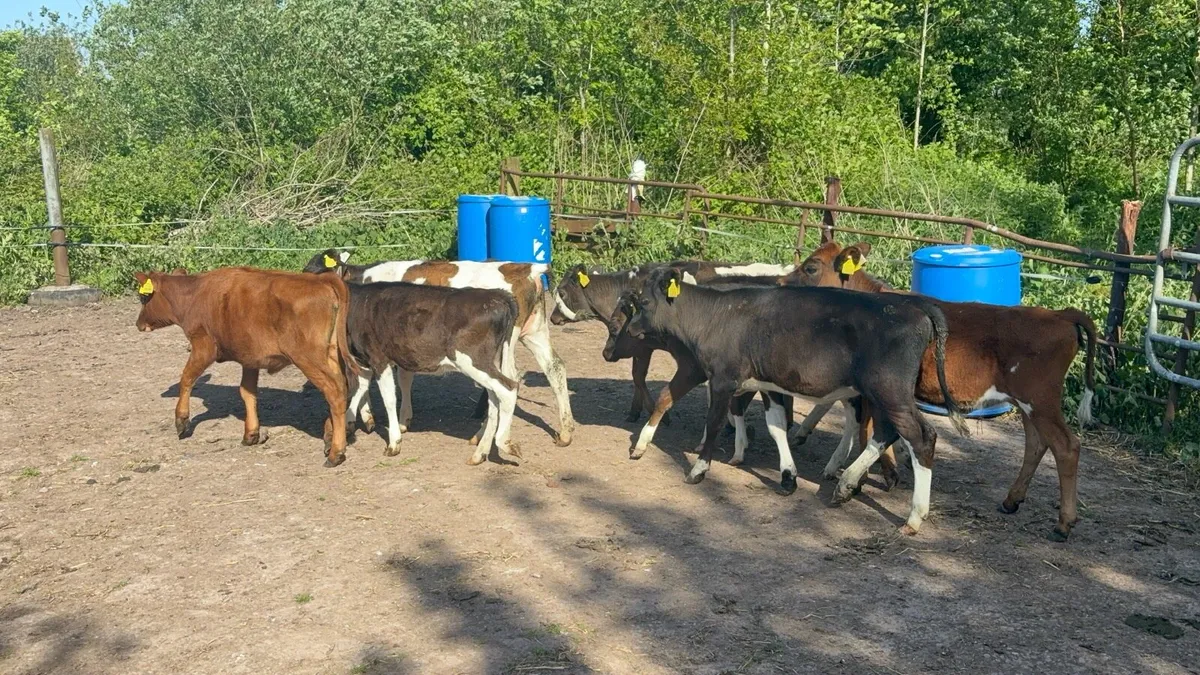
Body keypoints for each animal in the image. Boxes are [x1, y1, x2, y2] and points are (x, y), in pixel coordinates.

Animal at [133, 267, 357, 466]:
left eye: (144, 298)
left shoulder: (203, 346)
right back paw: (330, 437)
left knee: (334, 392)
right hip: (332, 354)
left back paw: (336, 453)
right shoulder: (250, 358)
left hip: (309, 357)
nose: (138, 324)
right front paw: (251, 433)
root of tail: (321, 279)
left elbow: (186, 378)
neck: (194, 293)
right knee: (341, 388)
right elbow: (247, 392)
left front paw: (181, 421)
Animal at [303, 250, 574, 447]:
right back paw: (565, 431)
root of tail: (526, 268)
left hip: (499, 348)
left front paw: (366, 419)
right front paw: (398, 418)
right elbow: (401, 379)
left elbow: (370, 384)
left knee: (509, 382)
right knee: (555, 368)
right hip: (535, 332)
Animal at [337, 279, 522, 466]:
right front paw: (348, 424)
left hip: (472, 361)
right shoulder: (363, 361)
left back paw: (504, 443)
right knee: (495, 399)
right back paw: (480, 453)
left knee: (508, 389)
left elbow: (388, 399)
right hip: (492, 362)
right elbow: (359, 389)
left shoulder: (379, 360)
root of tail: (498, 295)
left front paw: (394, 443)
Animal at [622, 266, 967, 535]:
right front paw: (788, 476)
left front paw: (698, 470)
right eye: (635, 301)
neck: (716, 315)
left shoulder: (722, 380)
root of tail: (913, 306)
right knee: (886, 432)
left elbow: (715, 423)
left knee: (921, 436)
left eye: (644, 302)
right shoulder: (769, 383)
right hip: (882, 393)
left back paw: (914, 517)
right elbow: (776, 427)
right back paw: (846, 485)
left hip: (889, 390)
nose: (632, 329)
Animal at [782, 241, 1097, 541]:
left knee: (1066, 447)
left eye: (811, 267)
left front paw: (864, 478)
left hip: (1040, 399)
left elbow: (866, 428)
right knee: (1036, 443)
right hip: (1027, 403)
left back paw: (1063, 524)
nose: (782, 284)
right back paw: (1012, 500)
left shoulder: (876, 386)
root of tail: (1060, 315)